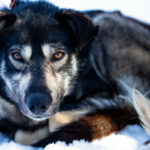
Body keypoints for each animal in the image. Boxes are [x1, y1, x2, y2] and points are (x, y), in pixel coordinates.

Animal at [0, 0, 149, 147]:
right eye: (17, 55)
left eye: (58, 54)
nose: (37, 104)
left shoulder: (105, 91)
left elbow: (54, 120)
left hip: (107, 23)